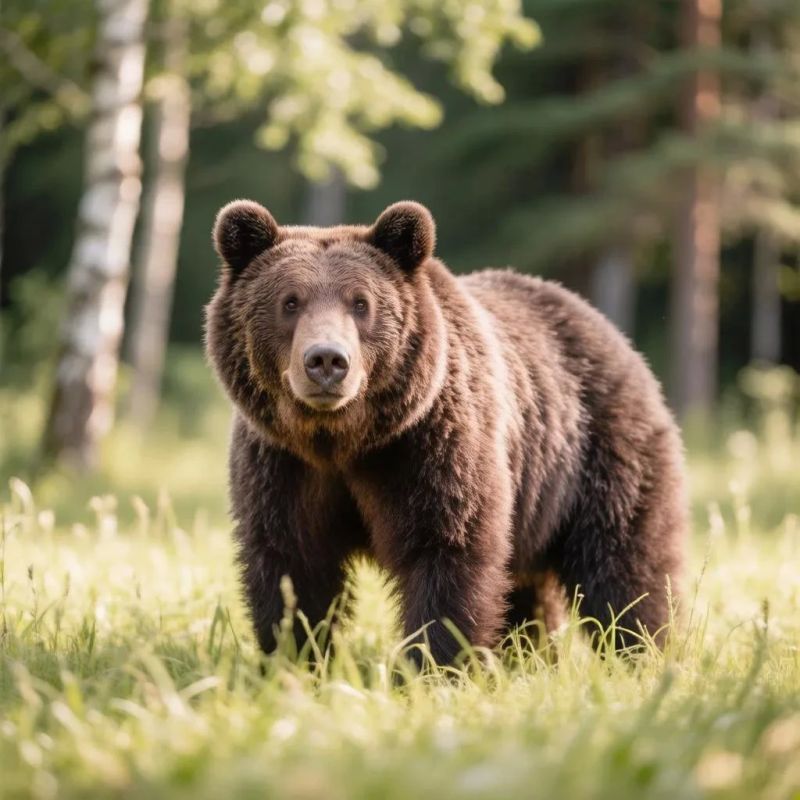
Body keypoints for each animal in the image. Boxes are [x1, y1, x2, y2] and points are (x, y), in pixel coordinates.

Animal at [205, 199, 687, 665]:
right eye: (290, 302)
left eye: (361, 303)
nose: (326, 360)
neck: (342, 440)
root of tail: (608, 329)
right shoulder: (283, 465)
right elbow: (292, 566)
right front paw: (297, 658)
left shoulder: (431, 447)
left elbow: (448, 553)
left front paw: (434, 666)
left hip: (598, 455)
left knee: (624, 564)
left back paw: (640, 651)